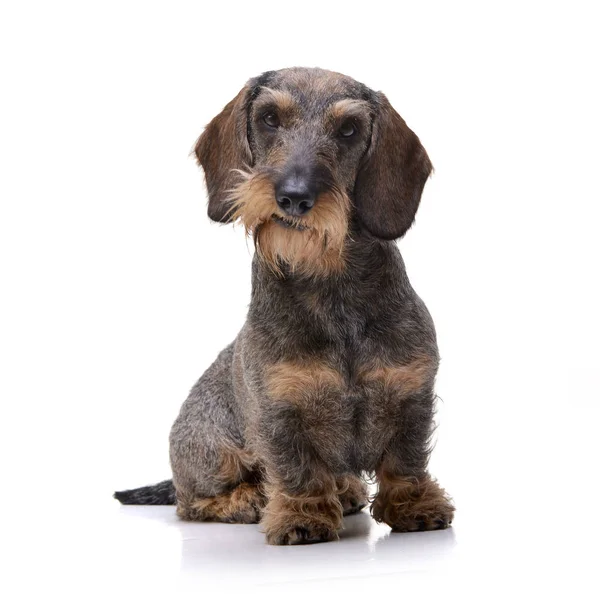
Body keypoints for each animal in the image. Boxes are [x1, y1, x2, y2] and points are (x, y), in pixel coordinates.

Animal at [115, 68, 454, 548]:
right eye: (270, 118)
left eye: (348, 129)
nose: (294, 196)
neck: (330, 287)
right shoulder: (278, 407)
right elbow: (297, 469)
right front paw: (302, 514)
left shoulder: (412, 393)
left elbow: (404, 461)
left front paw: (414, 505)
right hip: (213, 454)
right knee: (190, 501)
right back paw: (247, 499)